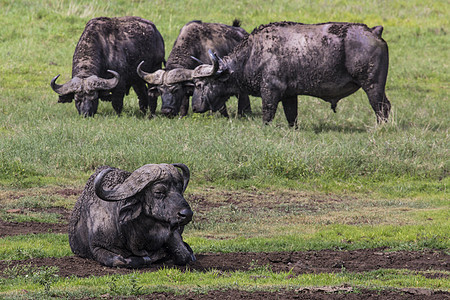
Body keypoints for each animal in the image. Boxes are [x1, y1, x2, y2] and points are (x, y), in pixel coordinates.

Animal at [169, 21, 390, 127]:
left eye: (200, 85)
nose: (195, 107)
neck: (252, 54)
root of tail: (373, 31)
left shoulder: (271, 92)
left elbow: (267, 114)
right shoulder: (290, 95)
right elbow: (292, 117)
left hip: (373, 86)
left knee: (381, 107)